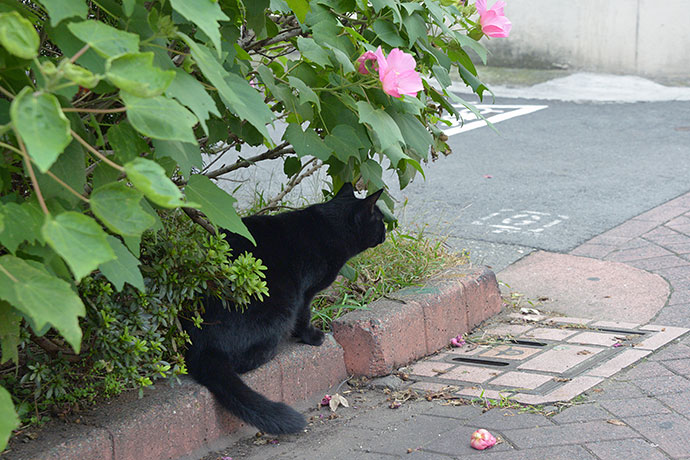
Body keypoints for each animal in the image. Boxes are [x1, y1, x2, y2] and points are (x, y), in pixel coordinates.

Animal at [185, 184, 384, 434]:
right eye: (380, 219)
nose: (387, 231)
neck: (330, 227)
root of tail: (203, 347)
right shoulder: (305, 293)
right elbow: (304, 316)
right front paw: (313, 337)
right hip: (282, 306)